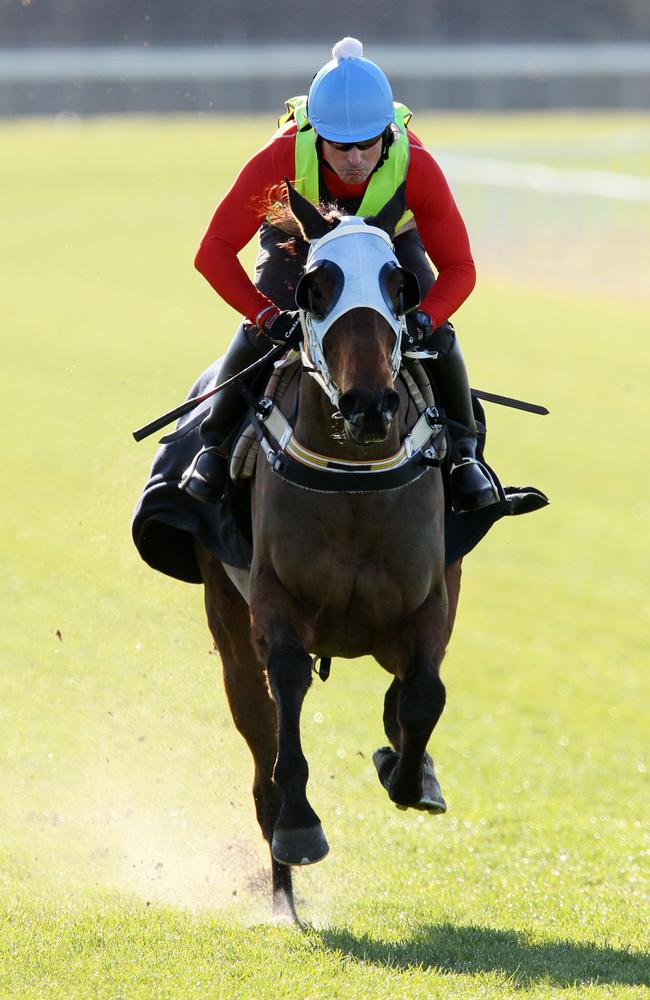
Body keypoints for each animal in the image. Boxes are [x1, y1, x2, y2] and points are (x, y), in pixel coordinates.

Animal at [195, 182, 464, 920]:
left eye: (399, 286)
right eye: (316, 287)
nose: (370, 403)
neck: (353, 475)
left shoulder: (430, 599)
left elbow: (425, 693)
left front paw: (408, 775)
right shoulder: (273, 601)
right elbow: (286, 692)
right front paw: (300, 825)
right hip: (225, 621)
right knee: (259, 746)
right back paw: (283, 898)